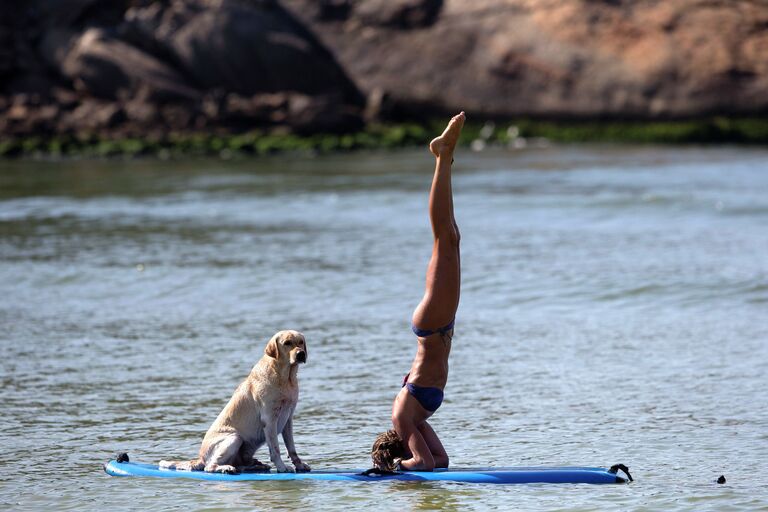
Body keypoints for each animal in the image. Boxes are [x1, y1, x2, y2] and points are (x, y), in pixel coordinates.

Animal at [160, 330, 312, 474]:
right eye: (287, 343)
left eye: (300, 342)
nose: (301, 354)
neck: (286, 378)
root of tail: (200, 458)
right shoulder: (269, 419)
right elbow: (275, 449)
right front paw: (282, 467)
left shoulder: (288, 419)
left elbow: (291, 448)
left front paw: (299, 464)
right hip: (234, 437)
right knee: (209, 467)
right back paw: (226, 468)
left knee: (239, 464)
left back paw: (254, 466)